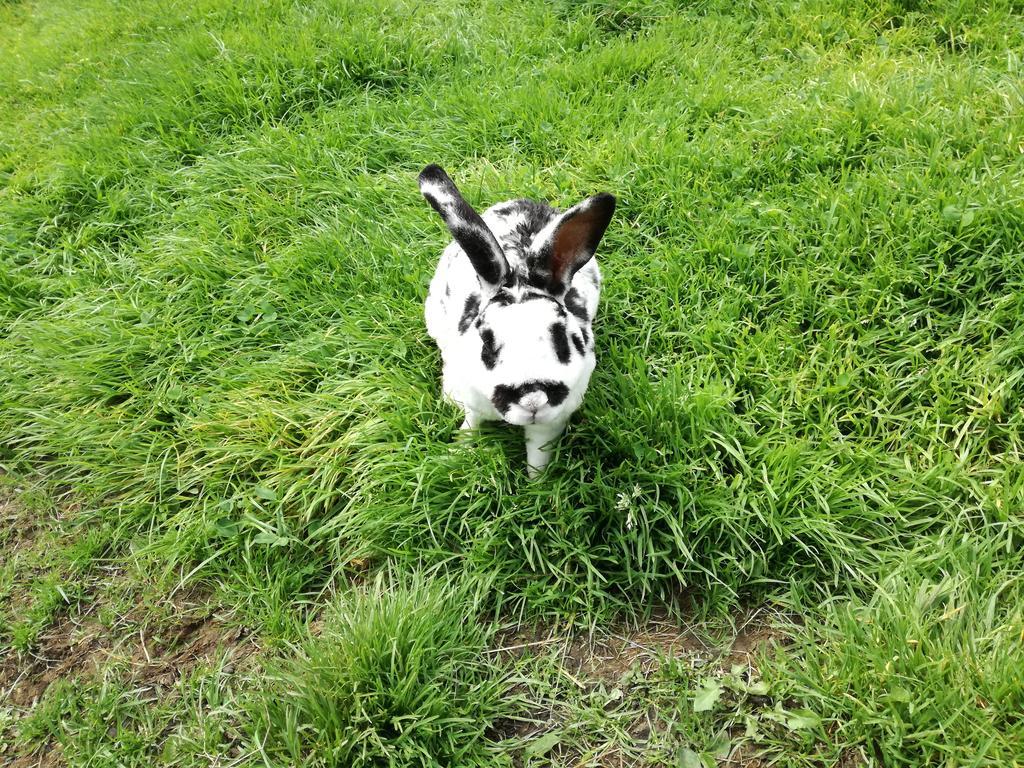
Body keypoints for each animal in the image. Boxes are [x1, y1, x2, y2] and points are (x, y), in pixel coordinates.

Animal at [417, 165, 614, 479]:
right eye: (486, 342)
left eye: (561, 337)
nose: (532, 399)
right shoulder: (475, 405)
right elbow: (471, 425)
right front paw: (456, 452)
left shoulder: (550, 423)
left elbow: (538, 454)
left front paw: (537, 482)